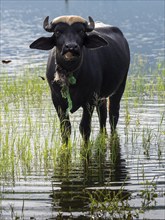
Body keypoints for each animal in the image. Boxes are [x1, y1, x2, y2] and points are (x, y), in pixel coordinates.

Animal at [29, 15, 130, 143]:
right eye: (57, 32)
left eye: (81, 31)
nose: (71, 47)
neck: (72, 74)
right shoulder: (57, 100)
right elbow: (65, 128)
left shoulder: (90, 99)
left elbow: (85, 127)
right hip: (101, 97)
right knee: (102, 114)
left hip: (120, 85)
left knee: (113, 114)